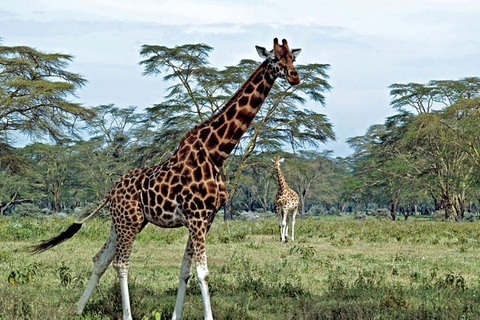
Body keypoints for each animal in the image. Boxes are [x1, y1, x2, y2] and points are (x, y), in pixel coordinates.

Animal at [31, 38, 300, 320]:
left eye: (293, 57)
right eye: (274, 59)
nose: (295, 76)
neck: (216, 153)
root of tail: (111, 191)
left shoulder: (206, 219)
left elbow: (185, 271)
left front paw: (176, 315)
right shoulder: (196, 217)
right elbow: (202, 273)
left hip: (124, 222)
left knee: (100, 259)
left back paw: (78, 309)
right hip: (129, 222)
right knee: (121, 263)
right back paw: (126, 315)